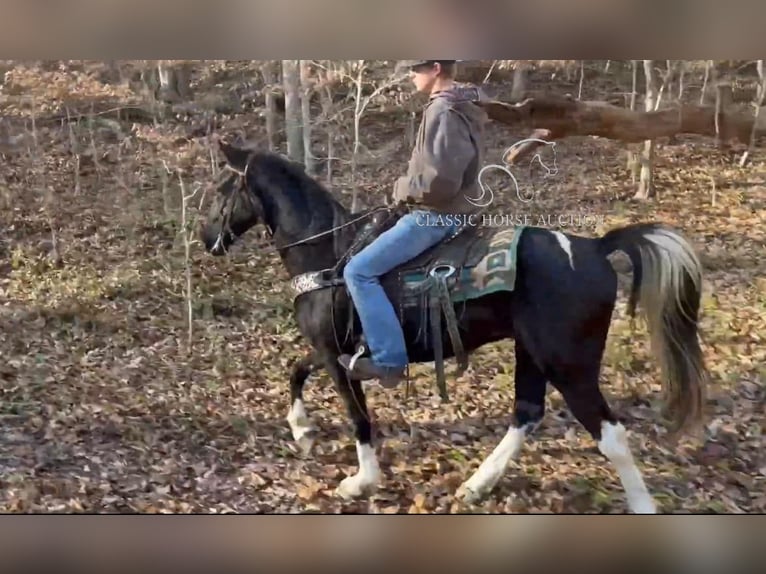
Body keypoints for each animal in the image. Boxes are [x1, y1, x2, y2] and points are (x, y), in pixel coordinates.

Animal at [202, 142, 708, 516]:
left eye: (221, 188)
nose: (207, 239)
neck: (329, 255)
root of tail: (595, 248)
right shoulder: (334, 350)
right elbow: (295, 370)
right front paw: (302, 429)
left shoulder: (335, 355)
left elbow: (358, 418)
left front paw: (360, 481)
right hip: (532, 352)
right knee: (527, 413)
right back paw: (476, 486)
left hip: (570, 365)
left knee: (610, 434)